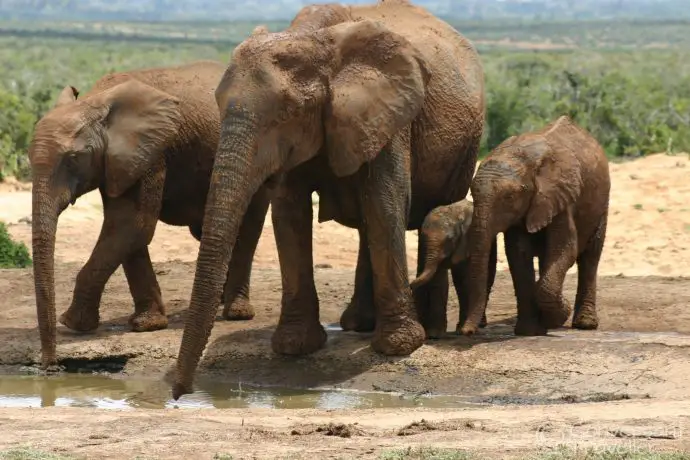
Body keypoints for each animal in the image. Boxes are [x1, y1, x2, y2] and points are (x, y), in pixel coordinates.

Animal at [30, 62, 270, 370]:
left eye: (73, 159)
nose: (51, 365)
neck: (96, 101)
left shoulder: (151, 152)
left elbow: (132, 225)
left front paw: (72, 323)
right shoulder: (121, 161)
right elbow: (128, 230)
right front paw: (147, 325)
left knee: (249, 227)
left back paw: (236, 312)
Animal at [172, 0, 484, 398]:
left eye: (288, 111)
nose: (179, 393)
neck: (313, 39)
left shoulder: (388, 116)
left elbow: (384, 204)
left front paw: (398, 347)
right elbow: (290, 213)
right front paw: (294, 346)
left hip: (463, 150)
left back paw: (423, 332)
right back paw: (358, 324)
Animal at [408, 199, 494, 336]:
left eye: (449, 239)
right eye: (422, 237)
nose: (410, 285)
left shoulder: (467, 241)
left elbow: (465, 280)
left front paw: (462, 330)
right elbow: (438, 276)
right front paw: (434, 334)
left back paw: (478, 325)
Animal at [456, 115, 608, 338]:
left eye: (509, 197)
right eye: (473, 196)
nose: (466, 332)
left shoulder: (561, 197)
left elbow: (565, 249)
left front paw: (557, 315)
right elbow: (518, 255)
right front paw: (530, 331)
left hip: (601, 204)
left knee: (590, 257)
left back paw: (585, 324)